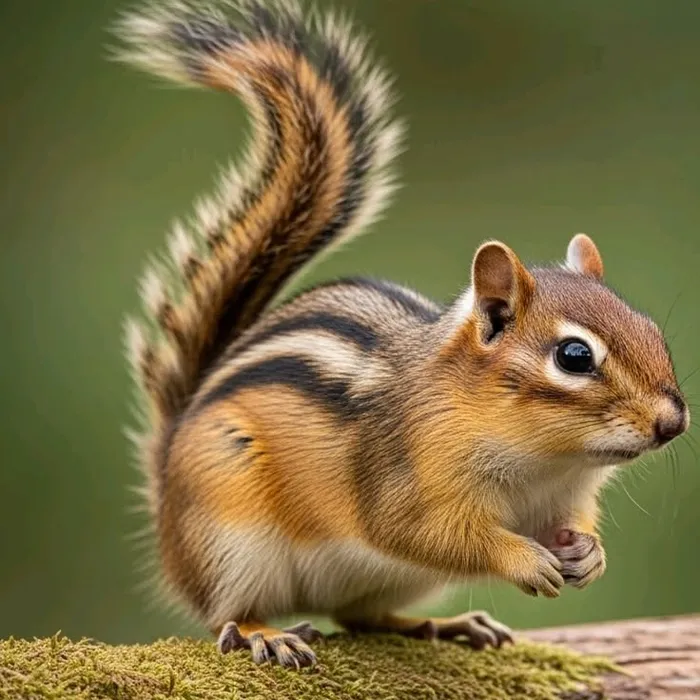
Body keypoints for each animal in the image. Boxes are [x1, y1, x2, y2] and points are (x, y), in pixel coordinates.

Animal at [115, 0, 690, 669]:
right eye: (574, 355)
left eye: (653, 332)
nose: (672, 423)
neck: (547, 461)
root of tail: (164, 487)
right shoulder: (402, 478)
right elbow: (425, 531)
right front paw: (523, 558)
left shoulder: (563, 499)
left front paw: (588, 554)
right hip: (228, 537)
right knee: (227, 615)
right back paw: (267, 632)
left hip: (391, 580)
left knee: (361, 616)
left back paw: (444, 625)